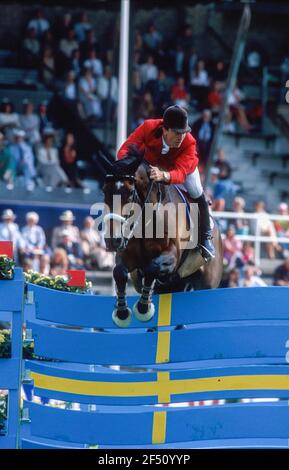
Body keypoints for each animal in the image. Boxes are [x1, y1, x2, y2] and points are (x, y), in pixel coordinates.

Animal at [101, 158, 223, 326]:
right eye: (104, 191)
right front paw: (122, 313)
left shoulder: (172, 256)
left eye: (130, 193)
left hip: (206, 283)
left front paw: (143, 309)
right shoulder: (126, 254)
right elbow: (119, 272)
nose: (113, 241)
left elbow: (152, 268)